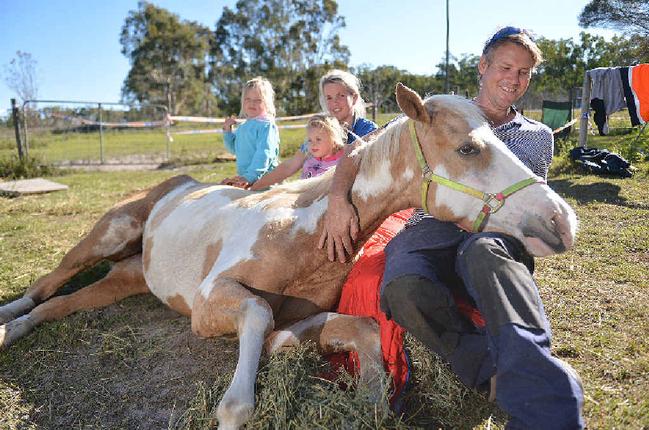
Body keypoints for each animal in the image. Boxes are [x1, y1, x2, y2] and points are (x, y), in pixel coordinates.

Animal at [0, 82, 576, 428]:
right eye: (468, 149)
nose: (561, 221)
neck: (305, 236)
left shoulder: (297, 319)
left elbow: (351, 328)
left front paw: (369, 396)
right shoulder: (210, 302)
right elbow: (255, 319)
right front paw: (235, 409)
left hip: (125, 279)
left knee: (56, 306)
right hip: (104, 236)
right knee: (45, 285)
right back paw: (6, 323)